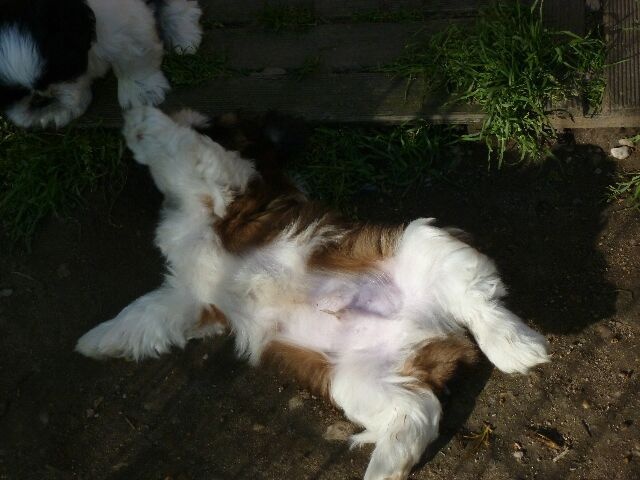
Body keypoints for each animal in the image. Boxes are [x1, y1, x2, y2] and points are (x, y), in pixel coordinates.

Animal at [0, 0, 202, 128]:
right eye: (9, 95)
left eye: (63, 69)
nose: (40, 99)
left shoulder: (123, 21)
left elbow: (133, 58)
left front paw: (142, 91)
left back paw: (183, 34)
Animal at [76, 106, 550, 480]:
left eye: (217, 123)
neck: (195, 210)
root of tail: (432, 330)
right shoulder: (189, 299)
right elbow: (145, 314)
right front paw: (98, 340)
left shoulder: (232, 185)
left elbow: (187, 149)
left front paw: (143, 119)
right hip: (357, 379)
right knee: (418, 411)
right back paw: (387, 465)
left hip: (424, 244)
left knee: (478, 302)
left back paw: (516, 346)